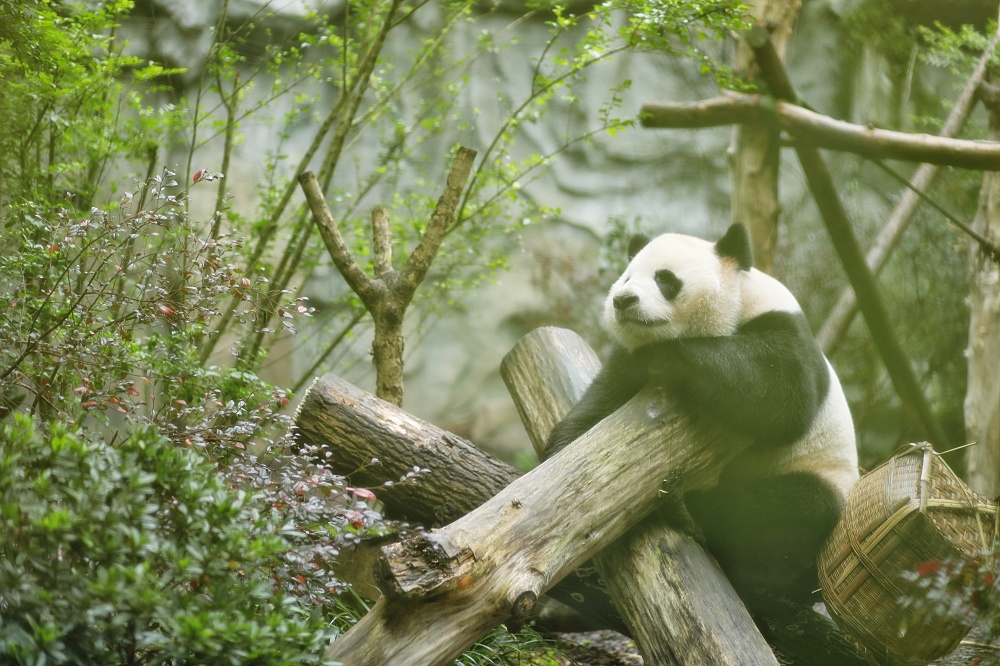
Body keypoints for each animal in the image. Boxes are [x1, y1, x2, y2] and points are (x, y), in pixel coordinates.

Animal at [548, 223, 860, 648]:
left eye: (665, 279)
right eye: (627, 277)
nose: (623, 300)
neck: (733, 311)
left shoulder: (782, 328)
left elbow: (781, 391)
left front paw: (672, 356)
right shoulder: (626, 365)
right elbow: (600, 405)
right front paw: (559, 463)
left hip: (822, 477)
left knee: (786, 511)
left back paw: (688, 509)